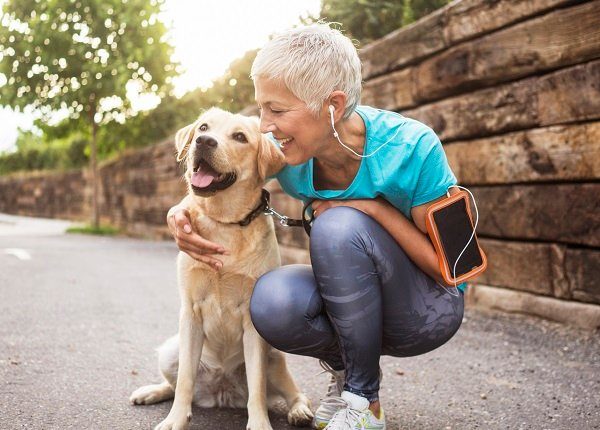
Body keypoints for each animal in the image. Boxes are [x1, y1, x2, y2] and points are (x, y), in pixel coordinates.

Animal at [131, 106, 314, 428]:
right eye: (203, 127)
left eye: (240, 137)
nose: (203, 141)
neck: (225, 223)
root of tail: (221, 392)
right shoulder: (190, 313)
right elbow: (184, 381)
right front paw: (175, 419)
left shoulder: (253, 323)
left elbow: (257, 388)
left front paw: (259, 423)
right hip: (171, 350)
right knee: (175, 384)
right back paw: (151, 391)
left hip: (273, 356)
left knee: (292, 391)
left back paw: (299, 411)